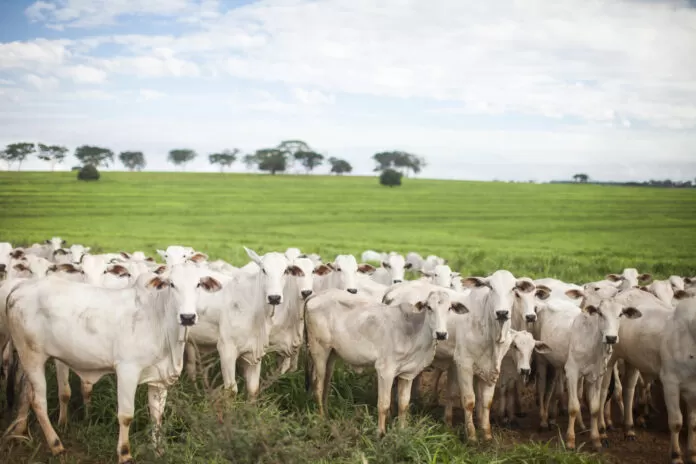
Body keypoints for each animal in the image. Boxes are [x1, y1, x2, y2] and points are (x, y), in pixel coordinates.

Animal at [304, 286, 468, 436]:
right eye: (429, 307)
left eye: (449, 308)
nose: (441, 334)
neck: (413, 332)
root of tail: (316, 295)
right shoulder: (385, 371)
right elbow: (384, 404)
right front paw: (381, 433)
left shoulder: (407, 375)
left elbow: (404, 404)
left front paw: (401, 430)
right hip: (319, 350)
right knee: (318, 386)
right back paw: (322, 419)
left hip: (331, 354)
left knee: (326, 384)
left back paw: (327, 414)